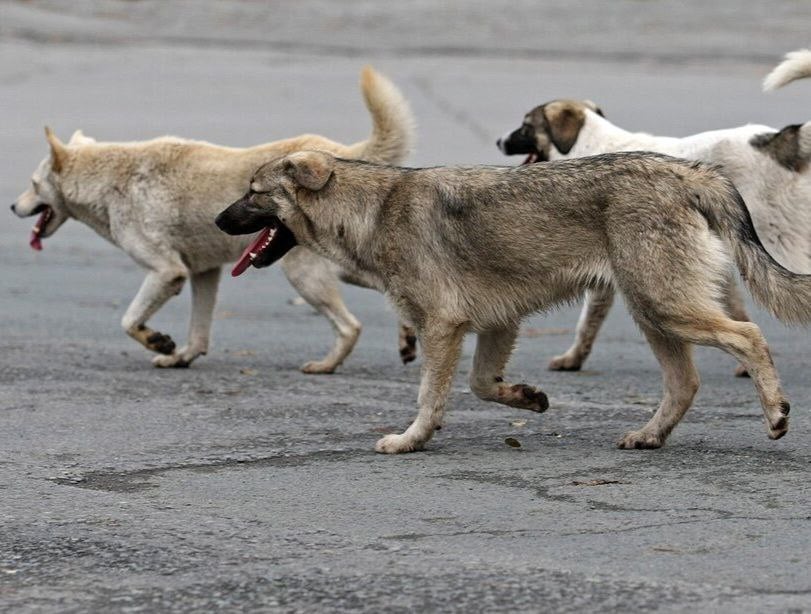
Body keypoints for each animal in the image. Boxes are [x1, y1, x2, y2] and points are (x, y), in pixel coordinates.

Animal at [11, 68, 418, 376]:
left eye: (33, 184)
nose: (13, 207)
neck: (110, 179)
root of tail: (338, 155)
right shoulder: (203, 273)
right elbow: (199, 332)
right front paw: (180, 357)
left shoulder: (166, 271)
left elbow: (129, 321)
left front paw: (158, 341)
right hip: (342, 267)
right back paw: (407, 339)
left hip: (305, 275)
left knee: (351, 327)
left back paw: (326, 366)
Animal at [214, 152, 804, 454]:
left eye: (253, 192)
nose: (216, 220)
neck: (373, 210)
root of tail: (687, 169)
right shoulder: (496, 325)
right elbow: (481, 386)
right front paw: (526, 397)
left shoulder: (442, 326)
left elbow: (430, 396)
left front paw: (411, 440)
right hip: (653, 316)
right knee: (685, 384)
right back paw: (649, 436)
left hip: (663, 309)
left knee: (749, 337)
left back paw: (776, 413)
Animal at [498, 50, 811, 376]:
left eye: (525, 126)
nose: (498, 141)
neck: (589, 141)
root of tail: (776, 140)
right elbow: (734, 312)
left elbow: (586, 320)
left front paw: (572, 358)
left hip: (778, 241)